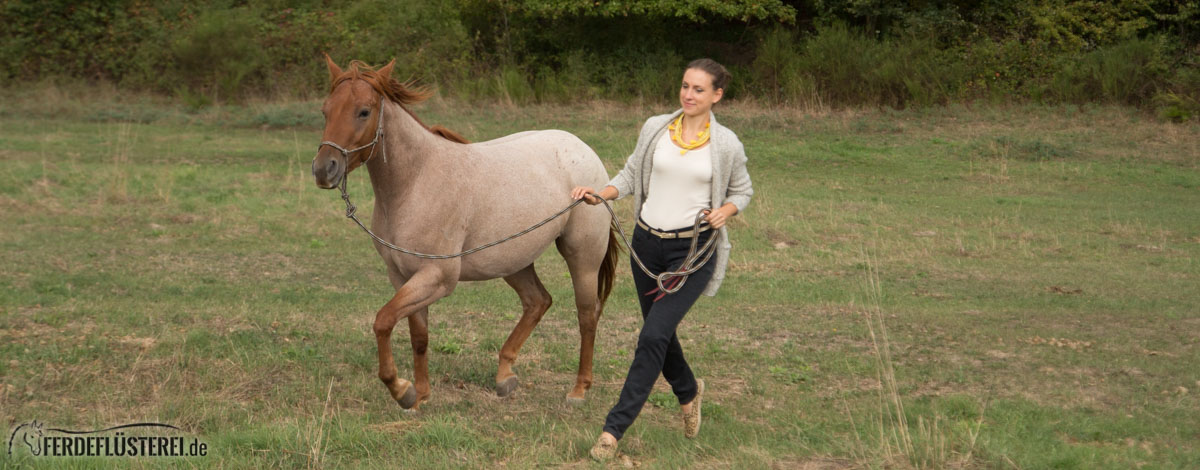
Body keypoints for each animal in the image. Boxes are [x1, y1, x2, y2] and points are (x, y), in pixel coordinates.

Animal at [309, 54, 619, 407]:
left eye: (363, 111)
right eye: (325, 110)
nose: (324, 169)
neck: (416, 182)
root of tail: (584, 150)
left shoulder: (437, 278)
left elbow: (383, 321)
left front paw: (401, 389)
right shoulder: (403, 277)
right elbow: (419, 336)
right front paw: (420, 393)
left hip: (583, 258)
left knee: (587, 316)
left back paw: (579, 389)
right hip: (513, 262)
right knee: (537, 301)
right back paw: (505, 375)